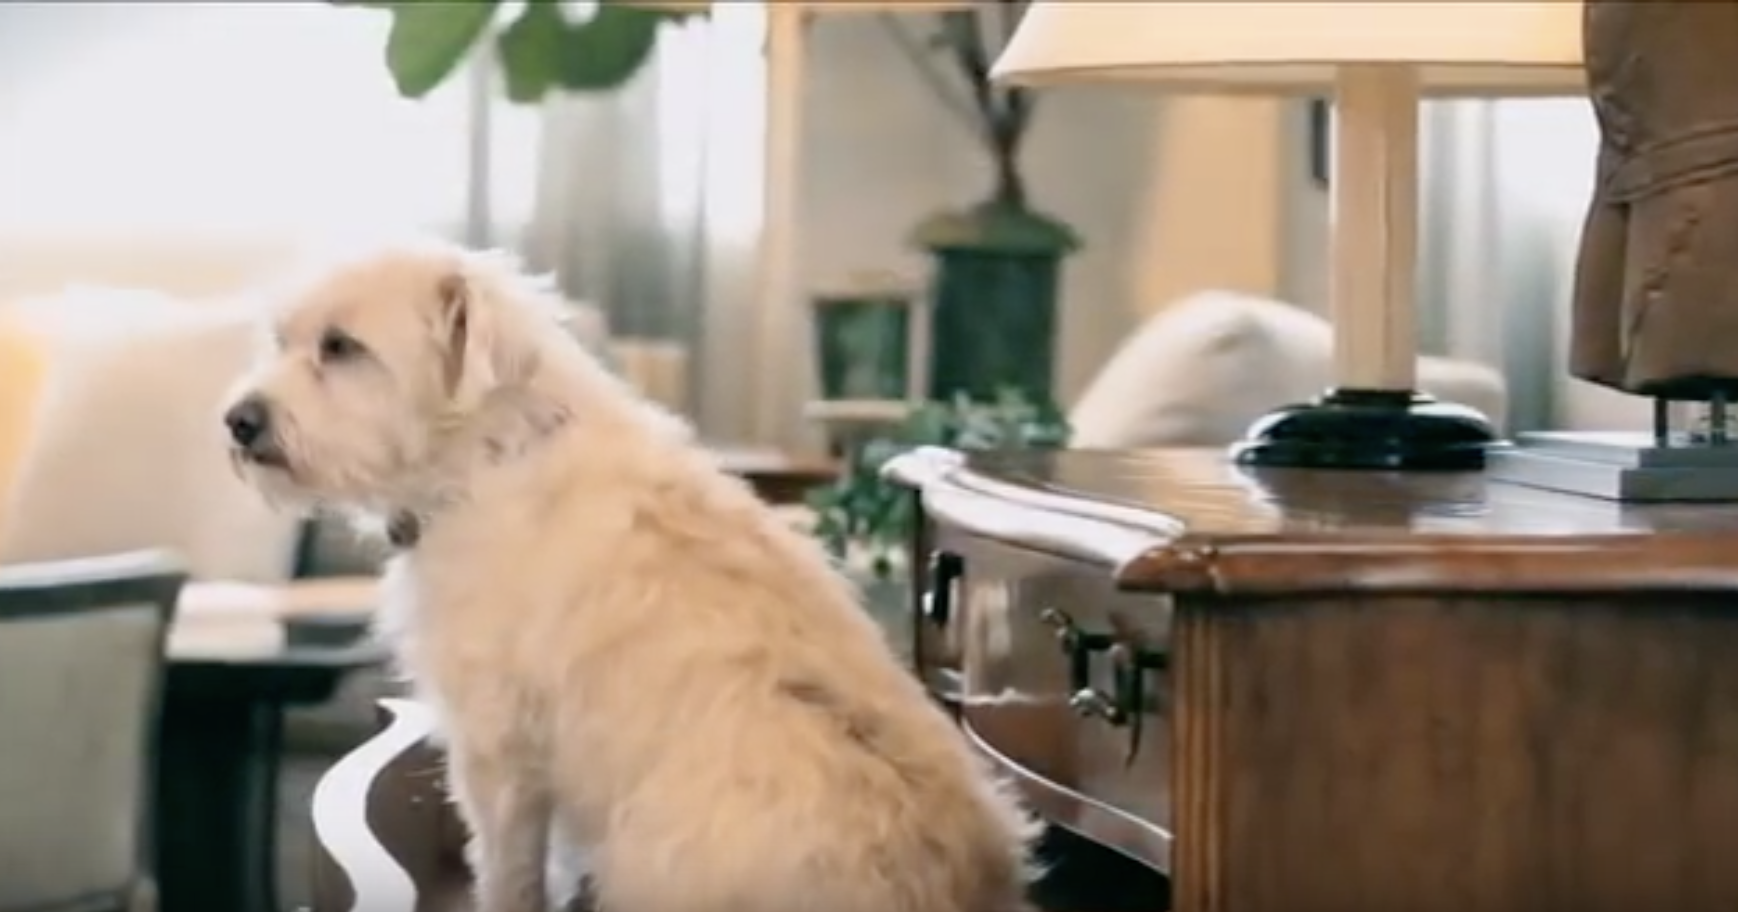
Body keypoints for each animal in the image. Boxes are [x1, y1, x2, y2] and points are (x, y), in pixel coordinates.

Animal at [220, 239, 1028, 910]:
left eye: (341, 346)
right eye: (282, 339)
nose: (237, 421)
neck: (492, 455)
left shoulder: (498, 747)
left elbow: (510, 873)